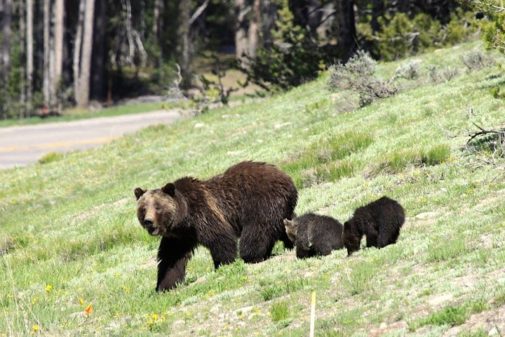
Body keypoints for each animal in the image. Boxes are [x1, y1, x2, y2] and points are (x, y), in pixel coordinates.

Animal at [136, 161, 298, 290]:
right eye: (143, 208)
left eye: (157, 207)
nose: (148, 221)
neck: (184, 219)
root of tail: (287, 176)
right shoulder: (179, 237)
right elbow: (170, 258)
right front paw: (165, 285)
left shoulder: (203, 214)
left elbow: (220, 238)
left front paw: (223, 264)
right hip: (280, 208)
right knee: (283, 224)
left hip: (261, 201)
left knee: (257, 230)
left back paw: (253, 255)